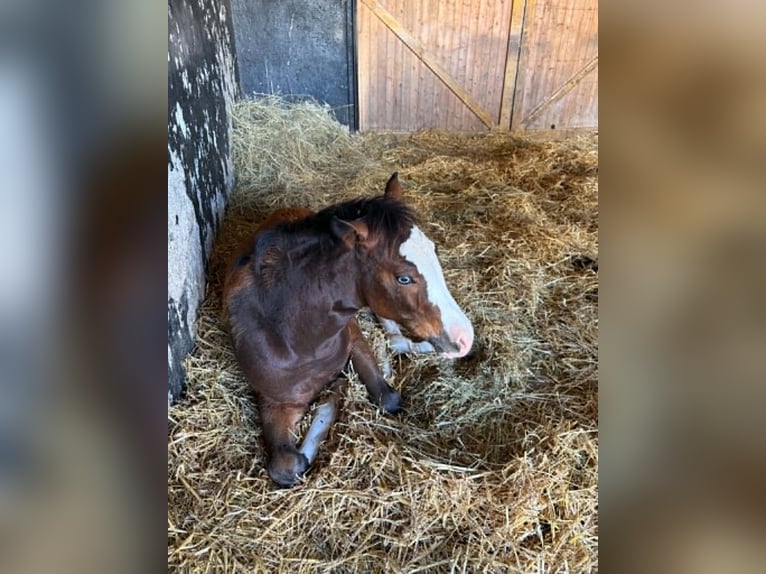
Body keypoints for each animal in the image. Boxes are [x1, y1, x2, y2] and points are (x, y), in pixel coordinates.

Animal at [223, 173, 473, 487]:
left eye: (434, 252)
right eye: (403, 278)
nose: (465, 338)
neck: (295, 337)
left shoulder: (353, 335)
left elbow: (387, 397)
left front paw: (338, 391)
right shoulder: (275, 401)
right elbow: (288, 467)